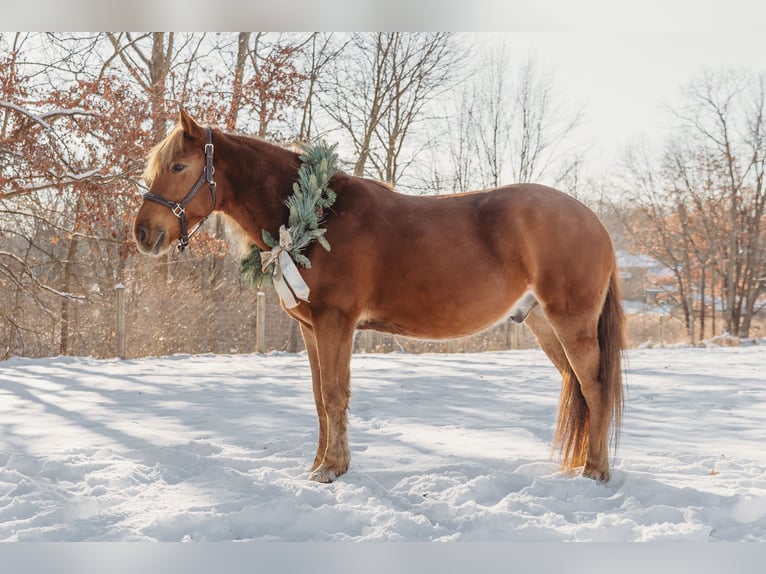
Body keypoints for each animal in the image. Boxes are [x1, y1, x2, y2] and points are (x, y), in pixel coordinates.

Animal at [134, 110, 625, 483]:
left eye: (178, 167)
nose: (143, 234)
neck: (318, 216)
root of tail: (594, 222)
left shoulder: (336, 323)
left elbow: (335, 394)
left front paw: (331, 469)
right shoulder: (311, 329)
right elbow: (319, 398)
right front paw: (318, 463)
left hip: (571, 324)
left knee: (595, 386)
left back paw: (596, 471)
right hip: (544, 324)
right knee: (579, 388)